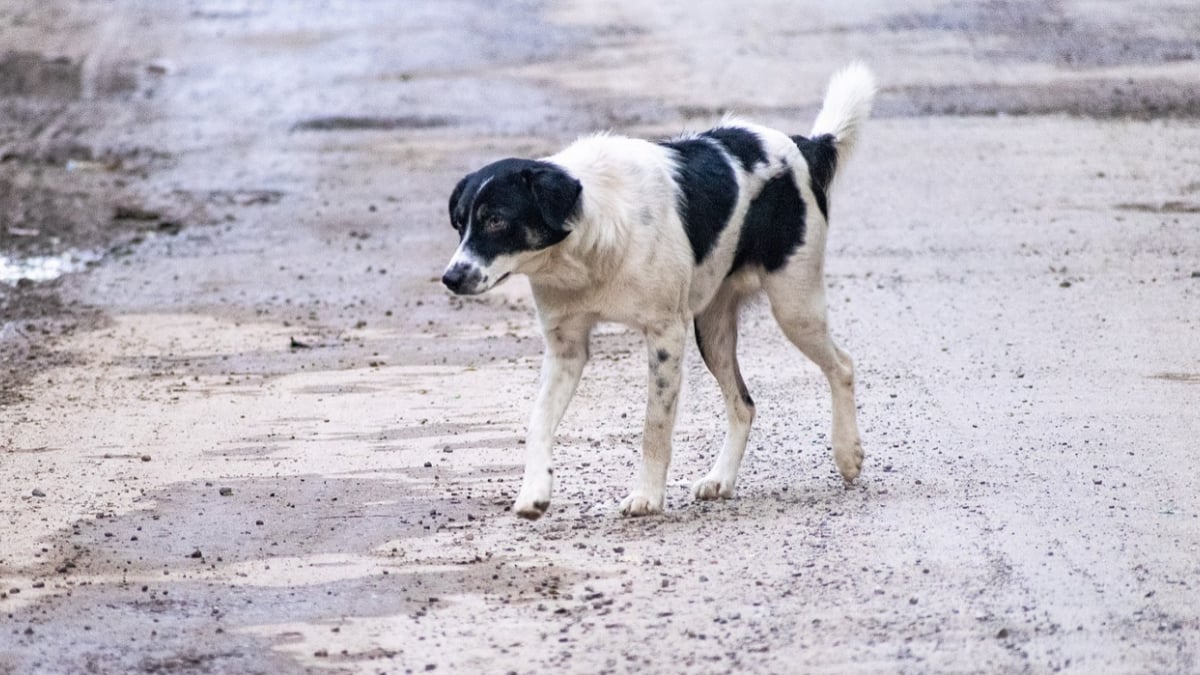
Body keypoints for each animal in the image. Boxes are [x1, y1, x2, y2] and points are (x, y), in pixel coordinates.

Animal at [441, 63, 873, 516]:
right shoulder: (566, 349)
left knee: (842, 366)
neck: (586, 243)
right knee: (743, 405)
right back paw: (721, 478)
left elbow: (655, 426)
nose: (450, 278)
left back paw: (847, 452)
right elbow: (538, 420)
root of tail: (803, 145)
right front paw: (534, 492)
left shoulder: (666, 334)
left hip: (794, 306)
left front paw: (647, 495)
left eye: (495, 220)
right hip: (713, 329)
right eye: (459, 223)